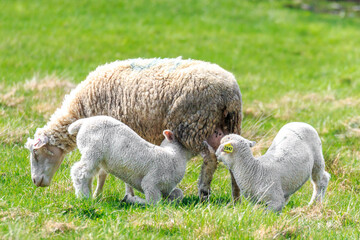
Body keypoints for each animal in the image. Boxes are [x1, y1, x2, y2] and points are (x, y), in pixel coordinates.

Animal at [26, 57, 242, 200]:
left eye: (36, 155)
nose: (36, 182)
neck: (81, 108)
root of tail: (230, 91)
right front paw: (103, 194)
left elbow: (104, 171)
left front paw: (104, 195)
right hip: (225, 127)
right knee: (234, 161)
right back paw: (236, 199)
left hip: (194, 126)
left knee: (210, 160)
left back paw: (203, 193)